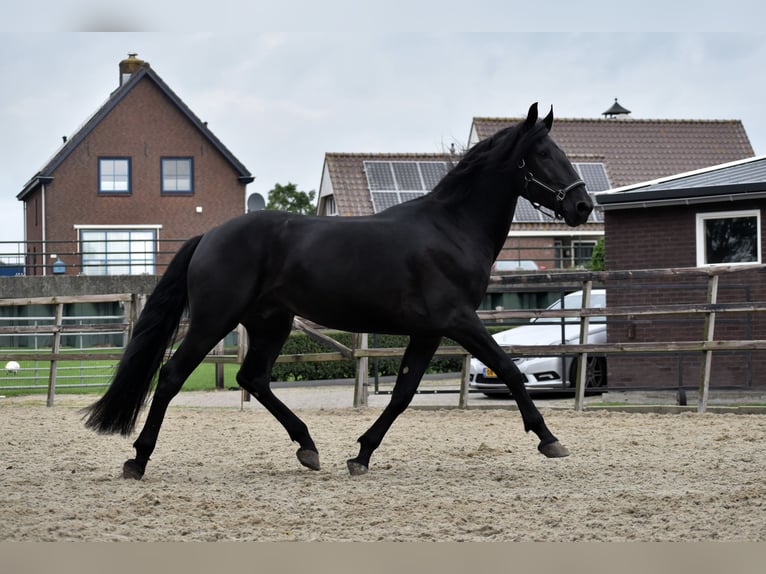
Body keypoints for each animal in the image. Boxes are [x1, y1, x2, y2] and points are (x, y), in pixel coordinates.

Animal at [82, 104, 592, 482]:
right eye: (543, 153)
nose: (583, 205)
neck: (451, 228)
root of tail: (209, 236)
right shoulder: (459, 320)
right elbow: (509, 369)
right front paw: (549, 439)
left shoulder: (428, 332)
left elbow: (403, 393)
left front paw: (361, 454)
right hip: (214, 319)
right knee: (171, 377)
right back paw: (137, 460)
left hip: (271, 322)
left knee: (253, 378)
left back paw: (308, 448)